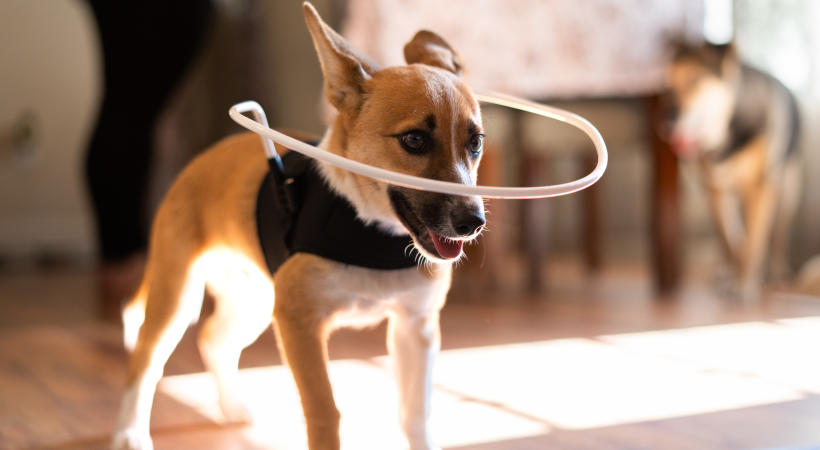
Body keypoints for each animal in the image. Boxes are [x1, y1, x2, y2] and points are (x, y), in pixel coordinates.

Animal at [115, 3, 486, 450]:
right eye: (414, 140)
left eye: (475, 142)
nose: (473, 223)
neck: (367, 228)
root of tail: (201, 159)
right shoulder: (299, 323)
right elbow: (324, 412)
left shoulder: (415, 327)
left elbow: (416, 415)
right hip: (179, 296)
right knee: (145, 358)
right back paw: (129, 433)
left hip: (256, 299)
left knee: (212, 338)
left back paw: (230, 407)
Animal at [668, 41, 800, 302]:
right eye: (668, 85)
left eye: (695, 80)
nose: (665, 118)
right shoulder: (716, 187)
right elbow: (732, 239)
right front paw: (736, 275)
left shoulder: (762, 186)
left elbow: (754, 242)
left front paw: (745, 285)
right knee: (726, 239)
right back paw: (726, 270)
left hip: (788, 190)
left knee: (779, 235)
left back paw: (777, 271)